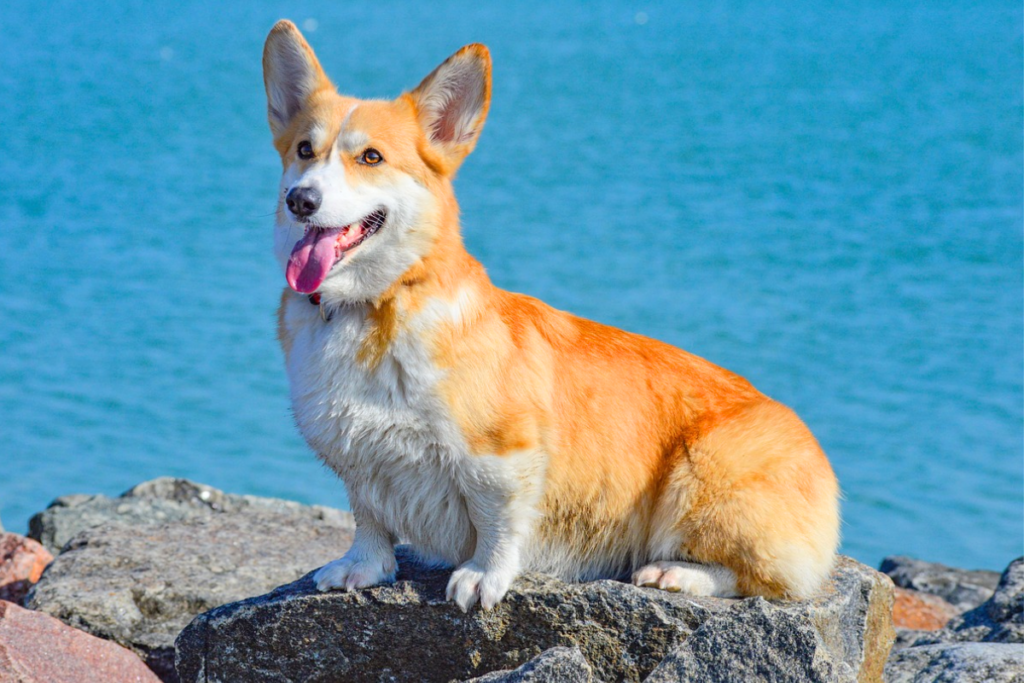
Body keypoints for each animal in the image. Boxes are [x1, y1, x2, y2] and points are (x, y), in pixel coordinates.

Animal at [264, 18, 839, 610]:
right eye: (304, 150)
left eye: (371, 157)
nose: (300, 200)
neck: (373, 305)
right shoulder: (358, 457)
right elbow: (370, 516)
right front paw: (363, 567)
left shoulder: (502, 454)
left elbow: (496, 521)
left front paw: (482, 575)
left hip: (701, 475)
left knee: (765, 579)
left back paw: (675, 573)